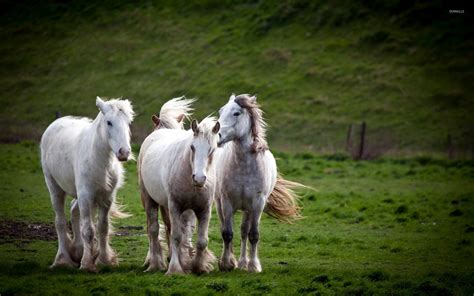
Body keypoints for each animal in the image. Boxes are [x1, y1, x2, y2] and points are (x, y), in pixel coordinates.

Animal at [40, 96, 135, 270]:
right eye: (109, 122)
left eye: (128, 122)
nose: (124, 152)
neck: (98, 159)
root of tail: (56, 123)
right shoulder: (85, 195)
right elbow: (88, 230)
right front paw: (87, 264)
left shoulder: (106, 198)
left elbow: (103, 228)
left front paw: (104, 259)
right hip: (55, 188)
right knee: (60, 222)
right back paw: (63, 259)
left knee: (73, 211)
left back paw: (77, 250)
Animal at [137, 108, 218, 276]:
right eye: (192, 147)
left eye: (212, 150)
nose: (199, 178)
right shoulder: (174, 206)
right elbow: (176, 236)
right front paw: (175, 268)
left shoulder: (204, 210)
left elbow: (201, 240)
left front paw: (198, 266)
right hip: (149, 200)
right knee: (153, 229)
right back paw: (155, 263)